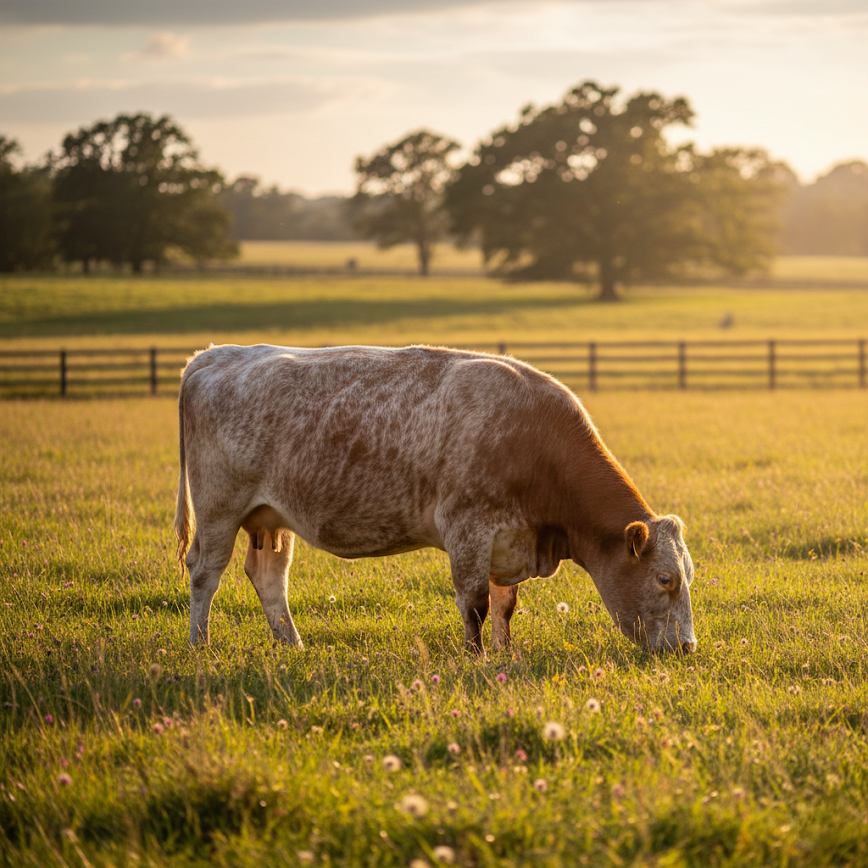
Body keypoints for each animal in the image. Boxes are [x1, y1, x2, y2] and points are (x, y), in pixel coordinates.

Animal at [174, 344, 696, 654]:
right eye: (664, 578)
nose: (688, 646)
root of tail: (217, 354)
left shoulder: (507, 540)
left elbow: (505, 605)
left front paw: (505, 654)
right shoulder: (467, 527)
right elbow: (476, 602)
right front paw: (476, 657)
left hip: (270, 518)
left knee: (269, 578)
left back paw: (292, 645)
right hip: (219, 508)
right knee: (205, 572)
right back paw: (200, 645)